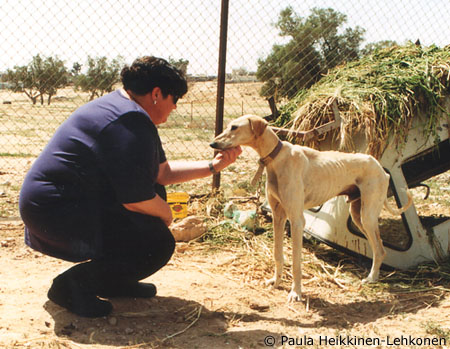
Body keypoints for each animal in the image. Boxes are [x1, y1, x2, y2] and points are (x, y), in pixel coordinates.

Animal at [209, 115, 414, 300]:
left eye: (234, 127)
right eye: (228, 125)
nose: (212, 144)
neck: (277, 157)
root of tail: (381, 168)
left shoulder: (297, 220)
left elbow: (296, 262)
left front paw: (296, 293)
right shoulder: (278, 216)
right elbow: (277, 254)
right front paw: (275, 281)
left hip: (367, 216)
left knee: (380, 249)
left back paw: (371, 279)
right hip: (358, 215)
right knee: (379, 248)